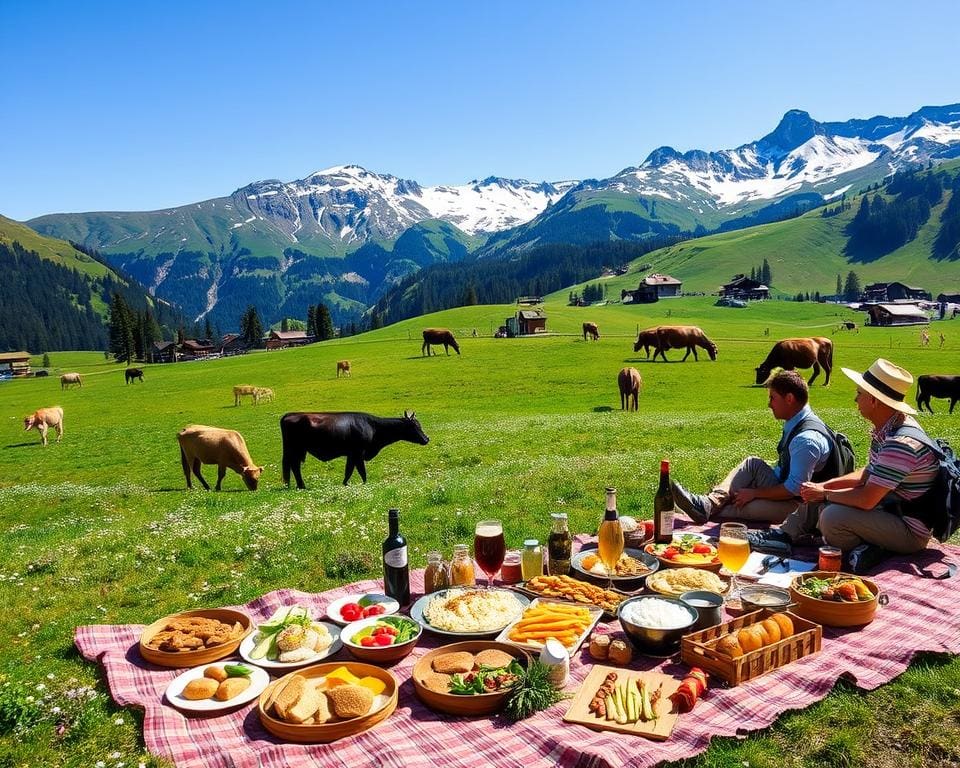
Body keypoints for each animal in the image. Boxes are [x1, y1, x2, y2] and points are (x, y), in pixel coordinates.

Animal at [282, 412, 432, 488]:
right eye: (415, 426)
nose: (426, 439)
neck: (372, 426)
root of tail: (289, 415)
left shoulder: (351, 454)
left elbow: (349, 470)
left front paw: (345, 483)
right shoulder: (358, 452)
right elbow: (361, 470)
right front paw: (365, 484)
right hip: (295, 449)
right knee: (294, 466)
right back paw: (302, 485)